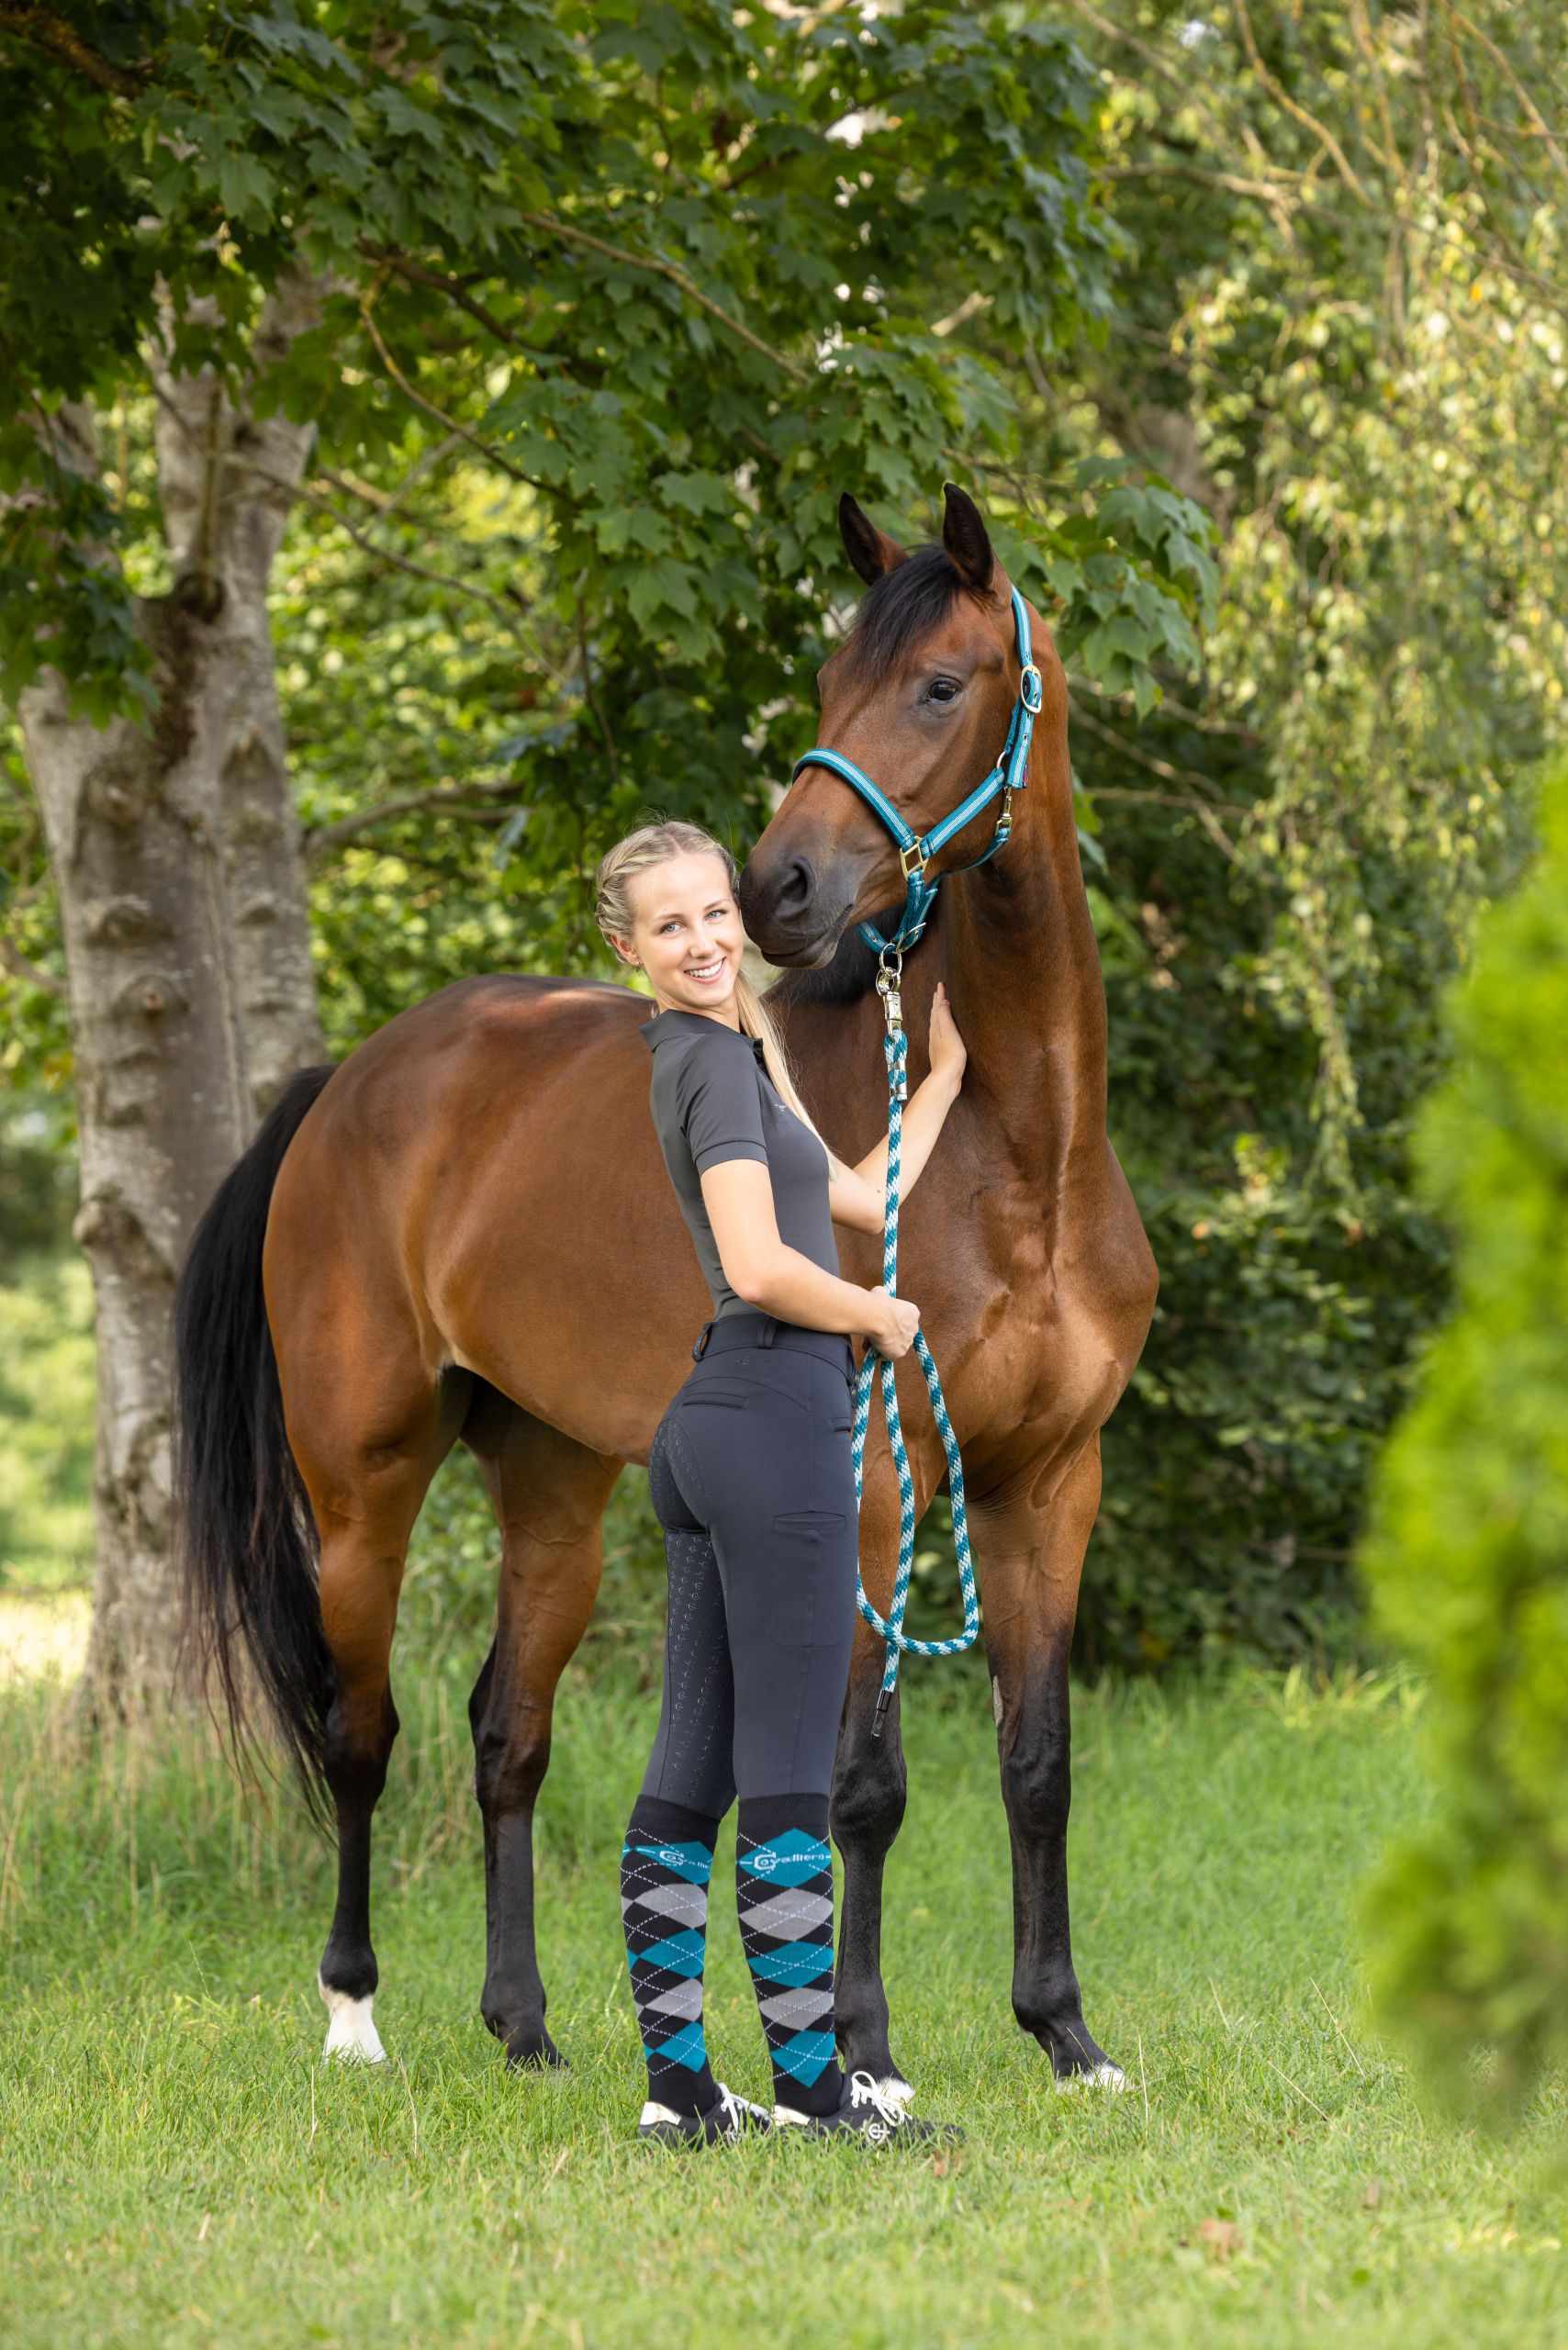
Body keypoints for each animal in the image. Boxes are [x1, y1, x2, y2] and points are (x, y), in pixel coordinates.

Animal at [174, 482, 1157, 2091]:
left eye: (941, 685)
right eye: (825, 682)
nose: (776, 889)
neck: (1019, 1159)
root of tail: (352, 1086)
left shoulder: (1050, 1484)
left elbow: (1039, 1764)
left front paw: (1066, 2035)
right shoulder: (871, 1485)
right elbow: (862, 1782)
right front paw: (865, 2052)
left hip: (553, 1481)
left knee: (504, 1732)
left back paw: (524, 2030)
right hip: (361, 1489)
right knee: (358, 1731)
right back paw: (354, 2014)